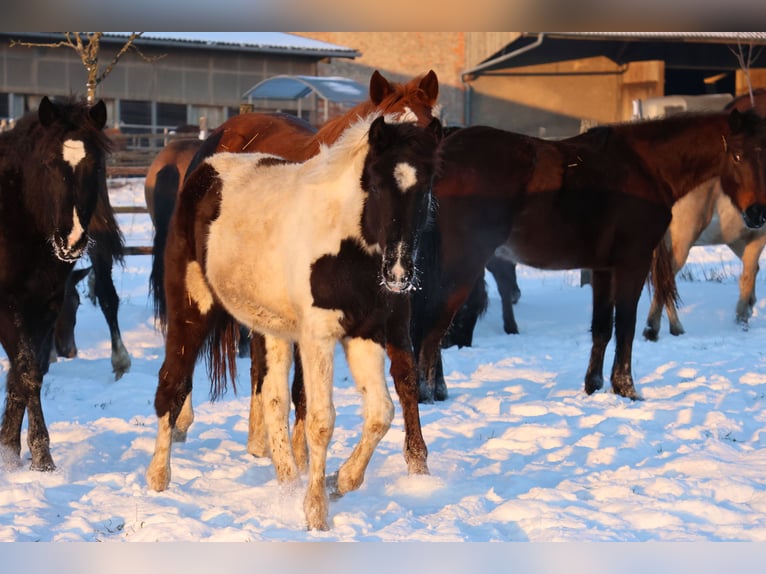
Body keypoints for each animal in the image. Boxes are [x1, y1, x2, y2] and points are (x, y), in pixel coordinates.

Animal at [0, 96, 111, 471]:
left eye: (96, 165)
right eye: (48, 164)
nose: (72, 240)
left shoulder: (45, 305)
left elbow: (23, 374)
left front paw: (11, 451)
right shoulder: (7, 304)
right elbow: (27, 371)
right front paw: (40, 456)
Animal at [145, 115, 442, 531]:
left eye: (426, 186)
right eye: (377, 183)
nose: (399, 274)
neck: (344, 240)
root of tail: (204, 171)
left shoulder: (364, 335)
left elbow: (380, 414)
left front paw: (340, 482)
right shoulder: (319, 336)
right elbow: (321, 421)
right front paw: (316, 512)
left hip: (270, 327)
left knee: (273, 398)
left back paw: (287, 482)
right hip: (192, 308)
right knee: (172, 382)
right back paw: (158, 478)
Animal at [643, 89, 766, 339]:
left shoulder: (740, 237)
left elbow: (751, 271)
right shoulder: (757, 235)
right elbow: (749, 274)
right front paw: (742, 318)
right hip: (682, 241)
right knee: (666, 278)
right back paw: (662, 326)